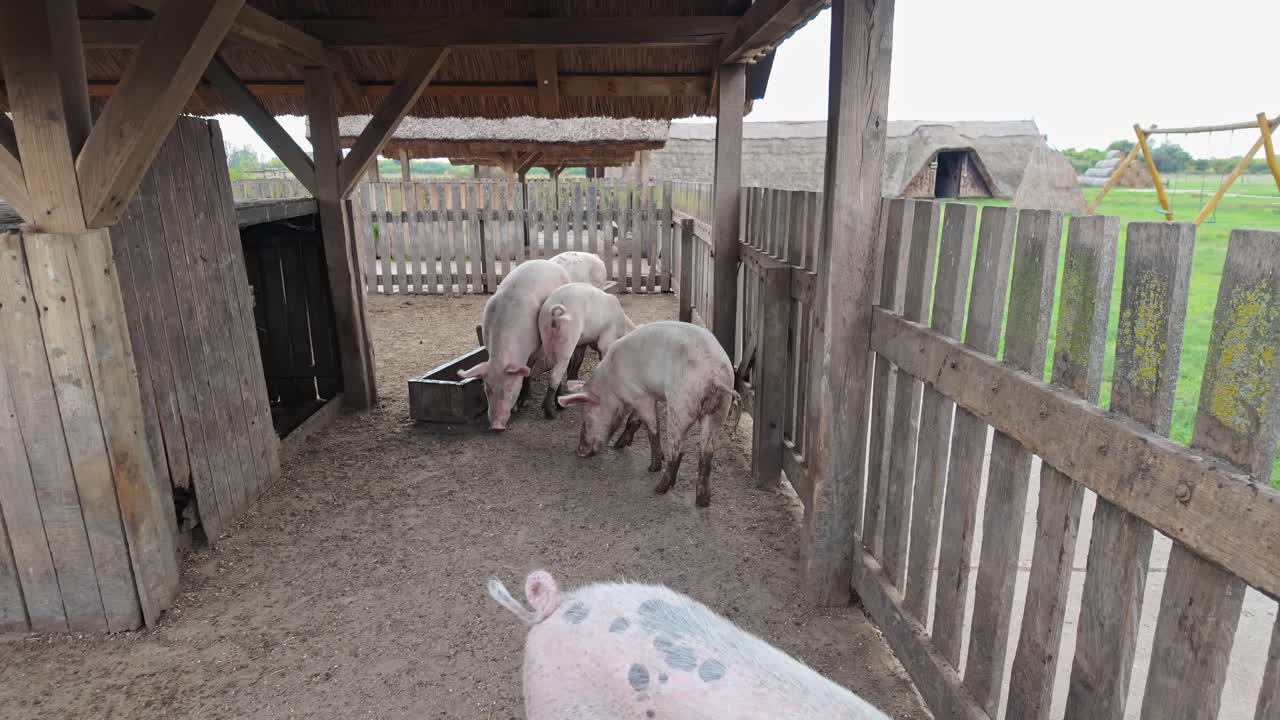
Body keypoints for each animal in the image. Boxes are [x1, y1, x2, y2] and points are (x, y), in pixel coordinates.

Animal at [459, 259, 570, 431]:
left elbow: (528, 369)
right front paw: (518, 407)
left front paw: (524, 402)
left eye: (509, 388)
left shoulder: (534, 348)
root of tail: (550, 262)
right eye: (487, 389)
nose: (496, 426)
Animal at [537, 282, 637, 418]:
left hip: (545, 333)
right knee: (555, 374)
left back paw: (557, 405)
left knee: (555, 368)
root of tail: (554, 310)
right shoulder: (606, 339)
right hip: (568, 336)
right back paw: (551, 414)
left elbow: (578, 362)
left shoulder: (582, 343)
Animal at [557, 321, 737, 507]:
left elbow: (651, 427)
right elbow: (634, 421)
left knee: (678, 450)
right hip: (718, 412)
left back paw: (659, 488)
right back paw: (702, 502)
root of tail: (714, 377)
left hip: (680, 406)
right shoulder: (641, 397)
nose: (579, 451)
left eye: (585, 417)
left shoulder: (641, 395)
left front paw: (652, 466)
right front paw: (618, 445)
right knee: (707, 451)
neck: (612, 386)